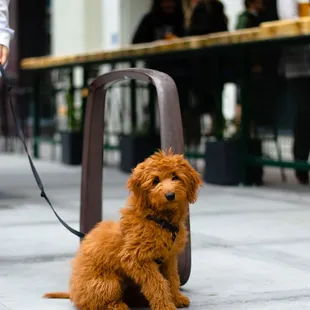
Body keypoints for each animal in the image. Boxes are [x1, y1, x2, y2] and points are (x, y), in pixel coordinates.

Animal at [44, 149, 203, 308]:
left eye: (175, 177)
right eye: (155, 181)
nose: (170, 195)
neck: (160, 221)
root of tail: (74, 294)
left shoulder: (169, 258)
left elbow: (172, 278)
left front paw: (177, 298)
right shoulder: (136, 258)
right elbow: (157, 282)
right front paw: (165, 305)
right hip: (108, 283)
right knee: (97, 303)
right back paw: (119, 306)